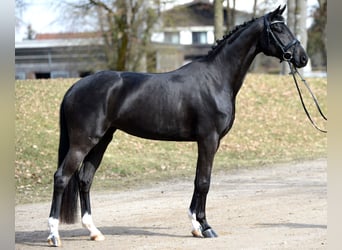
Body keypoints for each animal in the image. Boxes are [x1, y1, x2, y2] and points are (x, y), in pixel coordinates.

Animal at [47, 5, 308, 246]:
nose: (302, 58)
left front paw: (195, 225)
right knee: (61, 177)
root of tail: (74, 88)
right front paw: (205, 227)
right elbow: (204, 181)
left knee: (85, 179)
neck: (216, 78)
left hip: (102, 140)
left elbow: (198, 180)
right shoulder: (208, 139)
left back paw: (94, 231)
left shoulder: (209, 142)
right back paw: (54, 235)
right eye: (277, 28)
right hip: (83, 142)